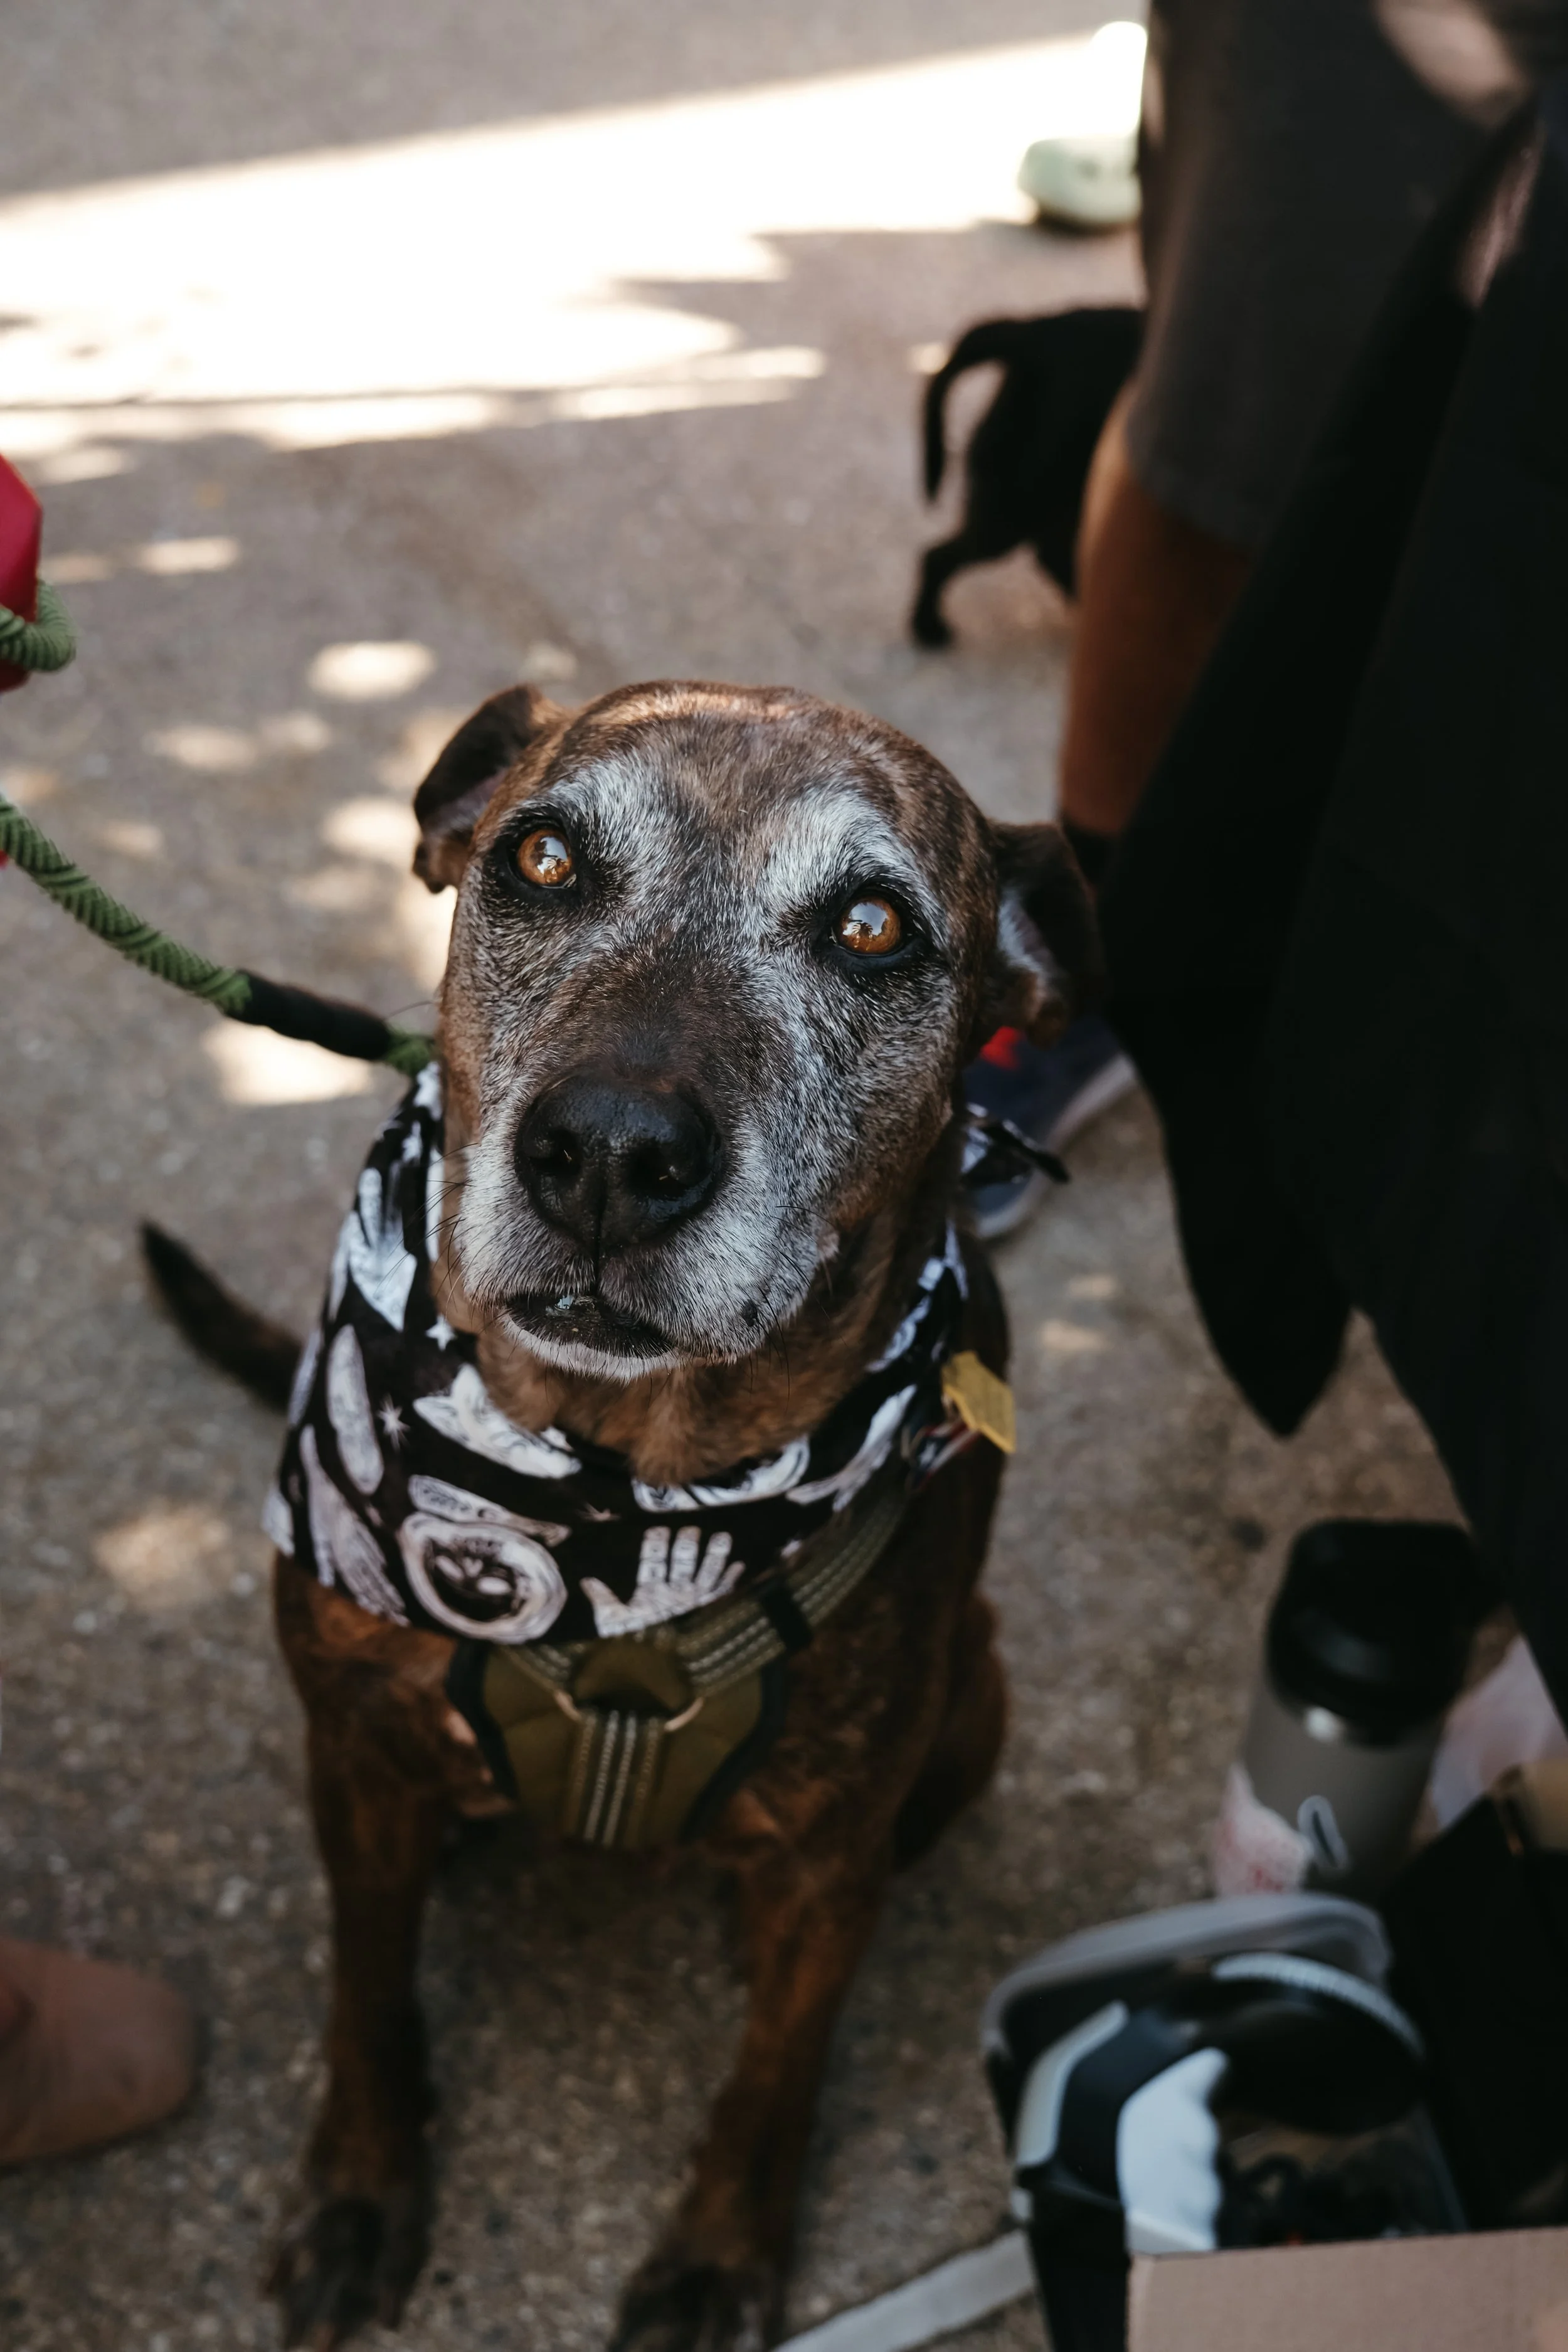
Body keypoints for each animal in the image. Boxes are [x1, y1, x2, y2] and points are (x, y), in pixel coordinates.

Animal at [147, 679, 1098, 2351]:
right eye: (540, 857)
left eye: (871, 928)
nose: (606, 1152)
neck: (607, 1490)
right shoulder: (356, 1756)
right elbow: (364, 1991)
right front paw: (361, 2189)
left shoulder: (831, 1859)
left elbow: (776, 2067)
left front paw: (718, 2257)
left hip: (974, 1693)